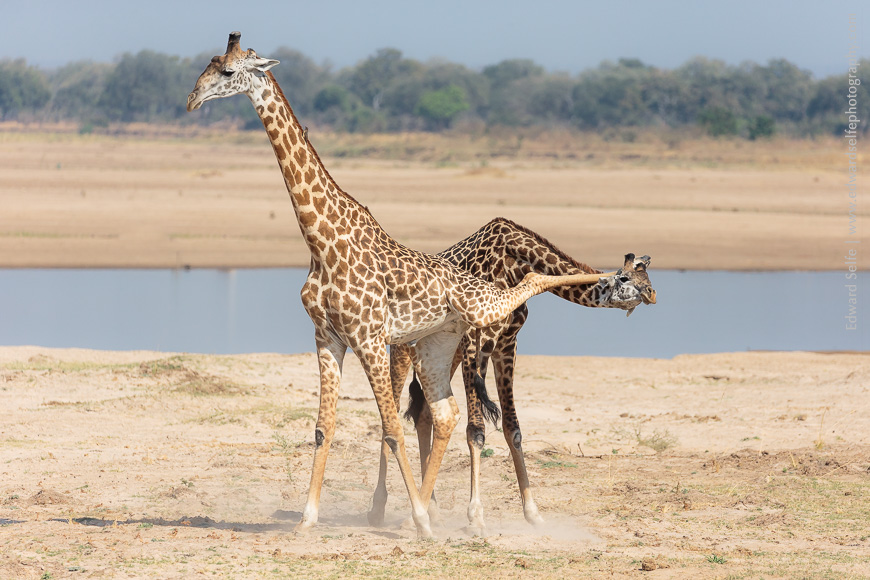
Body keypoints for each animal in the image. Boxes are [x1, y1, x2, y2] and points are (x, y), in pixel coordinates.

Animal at [186, 32, 623, 538]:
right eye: (207, 66)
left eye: (228, 72)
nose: (192, 99)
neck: (321, 241)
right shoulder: (327, 337)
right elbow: (324, 429)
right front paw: (307, 518)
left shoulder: (369, 338)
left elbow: (390, 429)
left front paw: (419, 518)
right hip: (437, 345)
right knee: (443, 413)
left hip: (477, 321)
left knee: (525, 287)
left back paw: (619, 277)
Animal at [367, 218, 655, 533]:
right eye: (625, 278)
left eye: (648, 276)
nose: (652, 294)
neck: (513, 261)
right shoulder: (473, 341)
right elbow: (476, 431)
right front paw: (476, 517)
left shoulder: (506, 344)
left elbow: (513, 430)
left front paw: (533, 512)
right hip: (400, 350)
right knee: (394, 411)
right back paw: (379, 508)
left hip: (442, 354)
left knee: (424, 413)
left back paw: (430, 510)